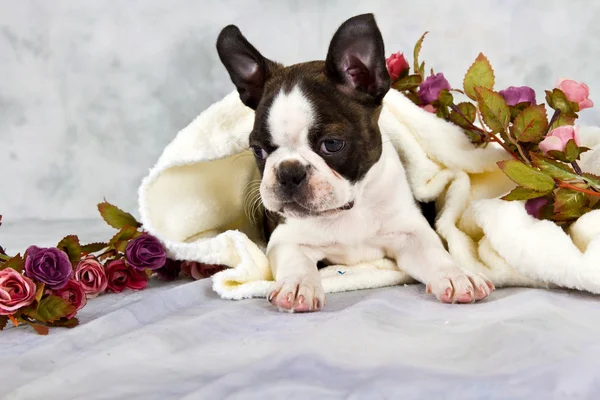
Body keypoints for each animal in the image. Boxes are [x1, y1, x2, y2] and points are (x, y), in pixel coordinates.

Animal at [216, 13, 492, 312]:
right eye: (258, 150)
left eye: (332, 144)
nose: (289, 172)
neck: (347, 210)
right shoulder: (286, 238)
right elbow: (296, 262)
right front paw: (298, 285)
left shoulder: (410, 233)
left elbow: (434, 254)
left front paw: (457, 276)